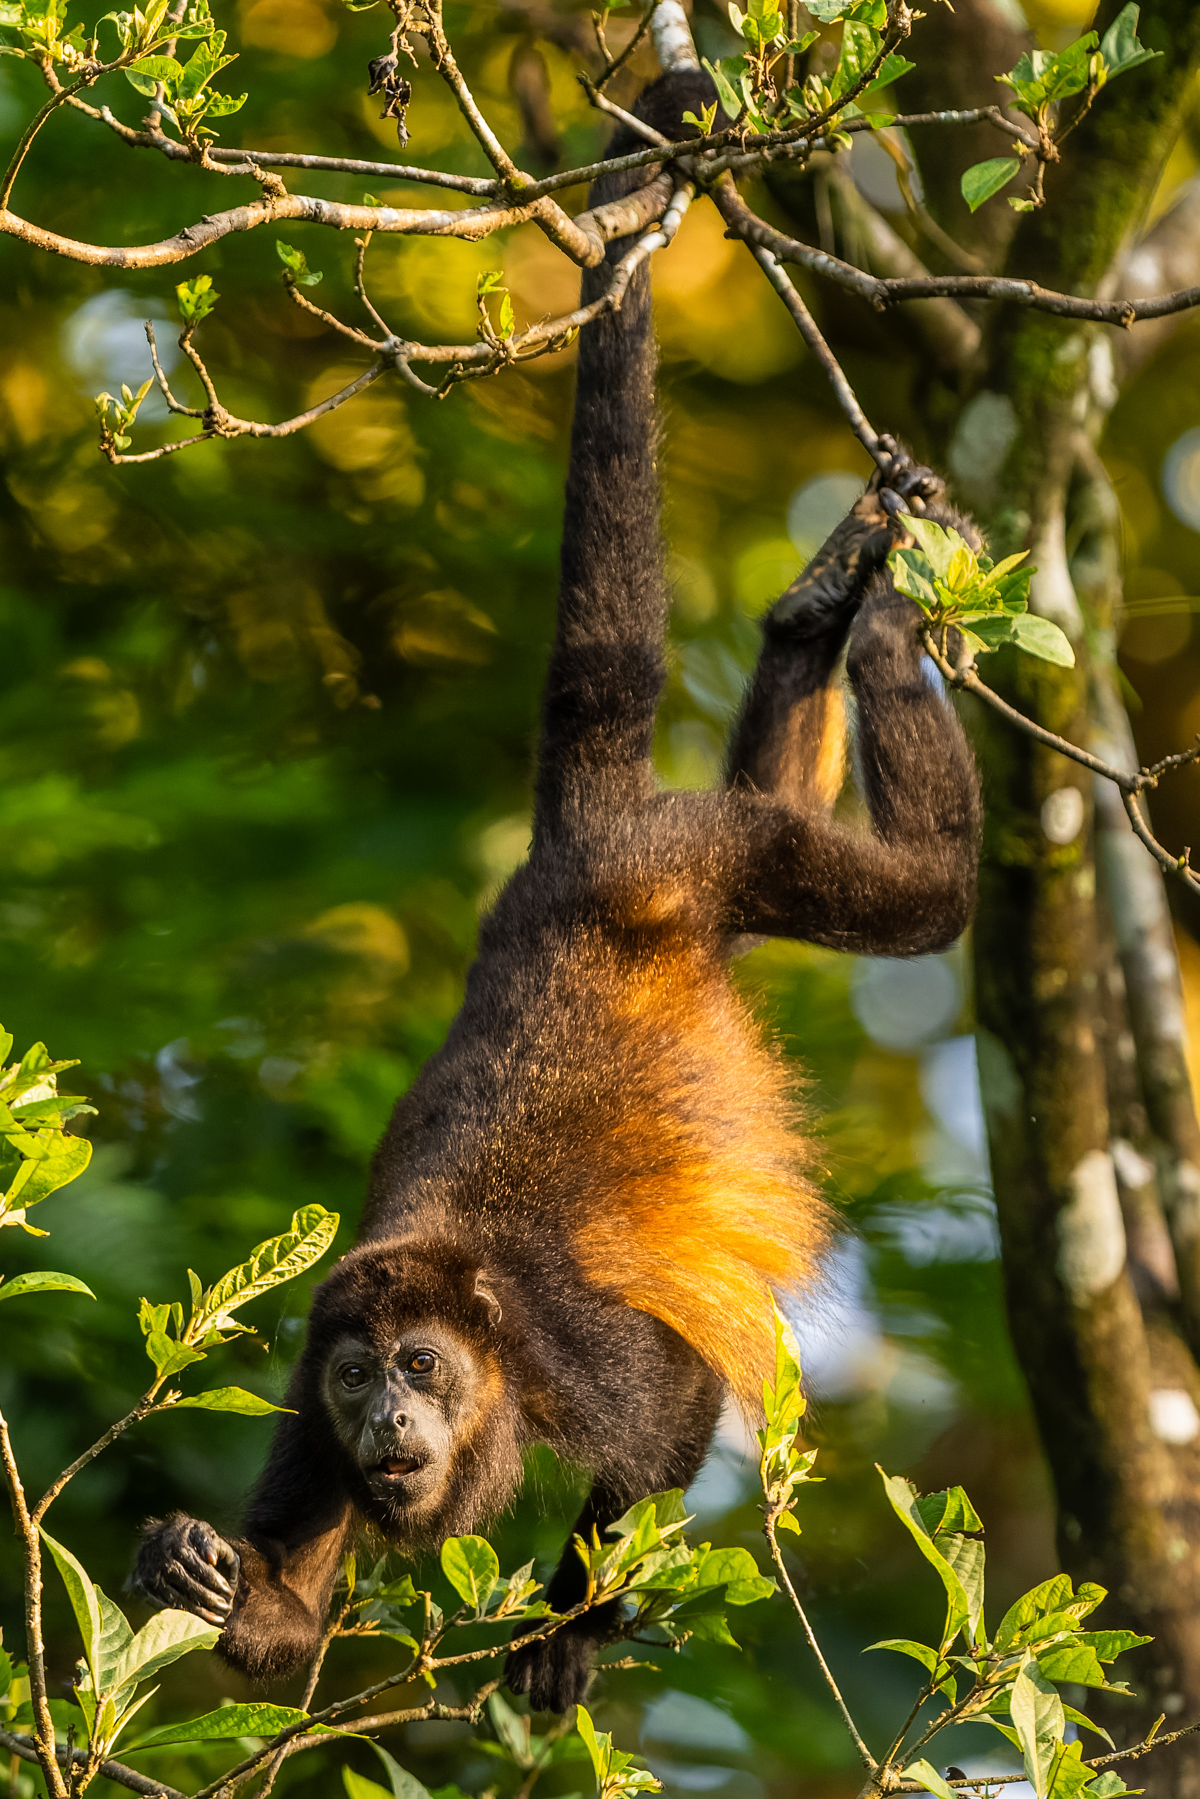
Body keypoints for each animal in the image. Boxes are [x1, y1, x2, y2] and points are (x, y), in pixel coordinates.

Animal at [134, 66, 981, 1714]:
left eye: (421, 1367)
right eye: (357, 1373)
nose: (387, 1421)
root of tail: (570, 862)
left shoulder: (554, 1345)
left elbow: (674, 1408)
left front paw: (568, 1623)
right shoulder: (301, 1401)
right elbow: (286, 1631)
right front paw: (196, 1571)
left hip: (703, 857)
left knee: (926, 898)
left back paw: (892, 627)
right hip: (707, 848)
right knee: (789, 787)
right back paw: (817, 613)